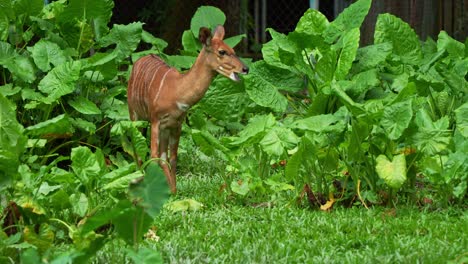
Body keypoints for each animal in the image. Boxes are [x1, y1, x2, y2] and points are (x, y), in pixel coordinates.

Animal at [126, 25, 247, 193]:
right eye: (222, 51)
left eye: (233, 50)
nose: (245, 68)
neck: (177, 91)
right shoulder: (156, 119)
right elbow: (154, 156)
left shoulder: (176, 123)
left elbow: (172, 158)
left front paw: (174, 192)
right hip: (134, 115)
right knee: (138, 151)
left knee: (162, 157)